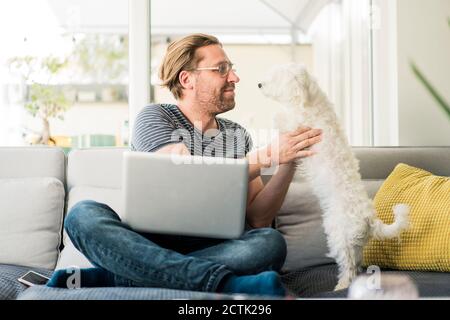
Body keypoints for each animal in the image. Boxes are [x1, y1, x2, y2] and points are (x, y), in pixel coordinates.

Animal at [258, 63, 410, 290]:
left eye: (275, 78)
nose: (259, 84)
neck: (308, 99)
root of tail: (369, 218)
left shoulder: (299, 126)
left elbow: (284, 119)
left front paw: (276, 116)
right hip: (354, 243)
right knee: (356, 264)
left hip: (339, 235)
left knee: (348, 265)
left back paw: (342, 285)